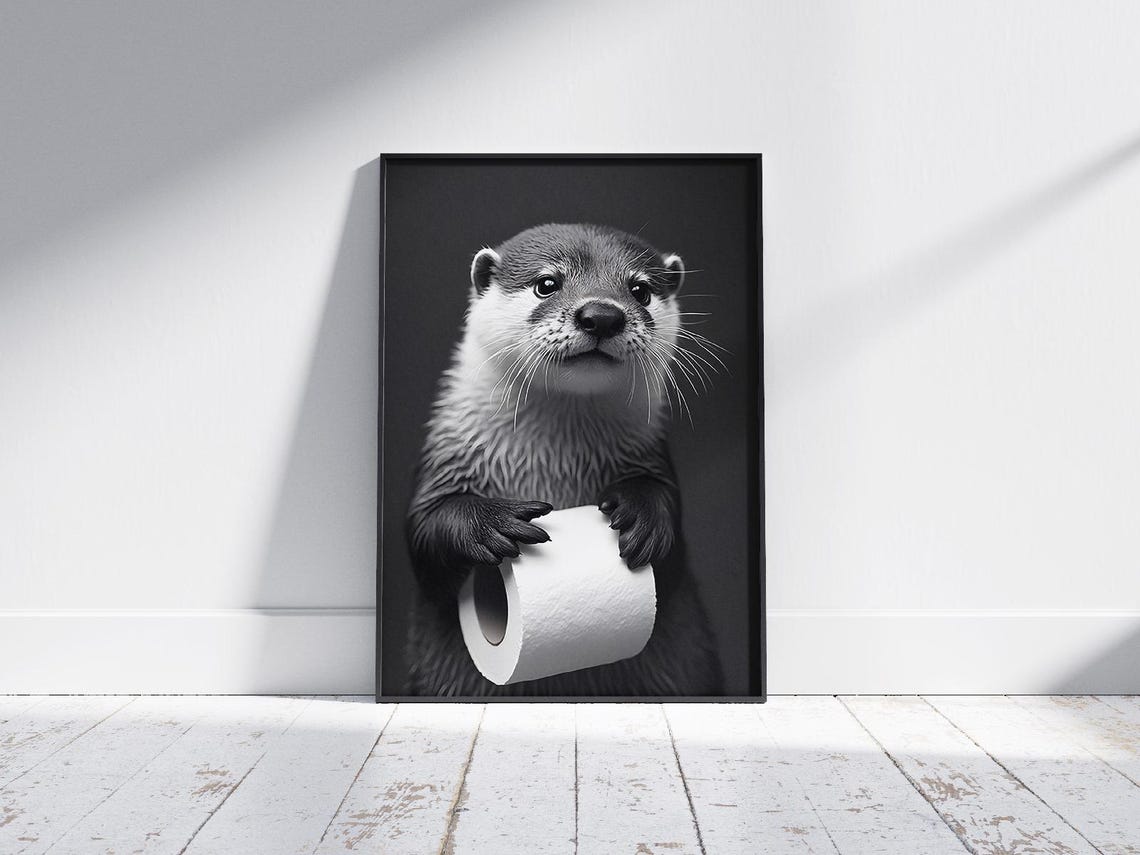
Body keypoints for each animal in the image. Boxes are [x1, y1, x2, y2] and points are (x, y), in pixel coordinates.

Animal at [404, 223, 723, 696]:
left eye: (641, 290)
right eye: (547, 283)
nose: (601, 315)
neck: (552, 458)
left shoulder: (653, 457)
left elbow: (670, 551)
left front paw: (643, 514)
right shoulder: (447, 454)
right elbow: (425, 534)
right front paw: (492, 524)